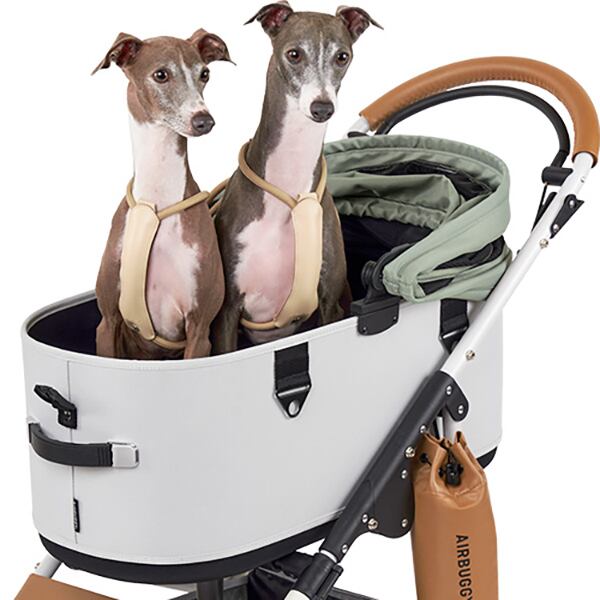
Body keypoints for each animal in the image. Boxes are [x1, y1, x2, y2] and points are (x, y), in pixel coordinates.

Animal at [94, 30, 232, 360]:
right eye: (161, 74)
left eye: (205, 74)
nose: (204, 120)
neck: (157, 202)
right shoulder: (107, 321)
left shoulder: (199, 331)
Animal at [212, 2, 380, 353]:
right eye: (293, 54)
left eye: (342, 56)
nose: (322, 107)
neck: (286, 190)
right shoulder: (227, 311)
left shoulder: (329, 303)